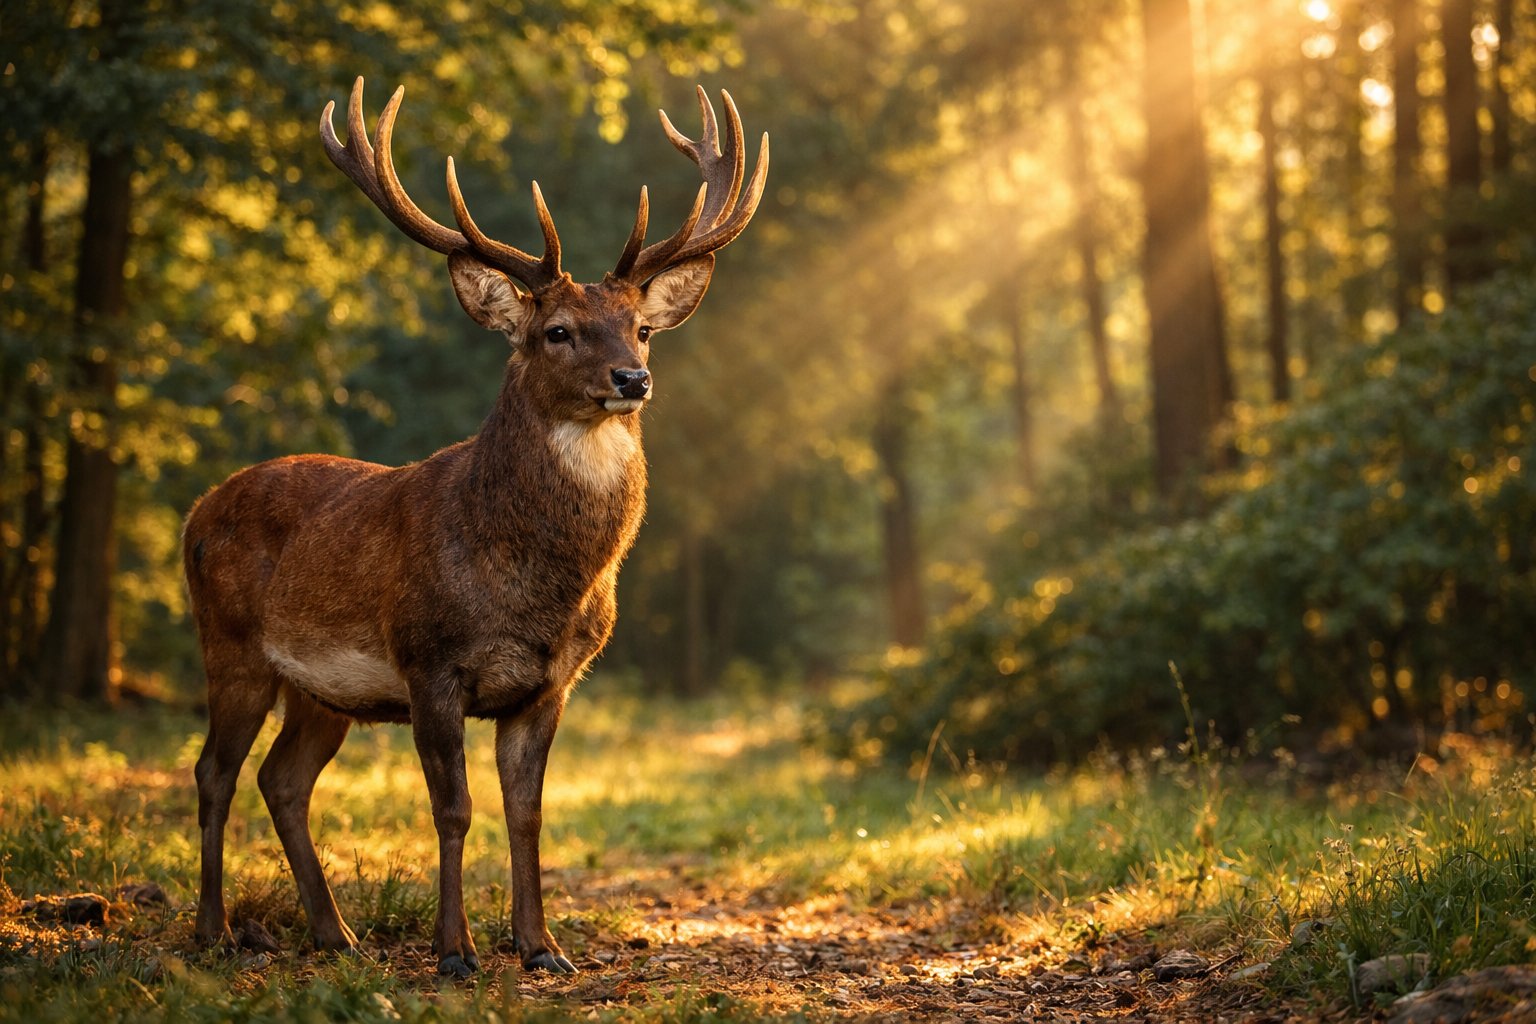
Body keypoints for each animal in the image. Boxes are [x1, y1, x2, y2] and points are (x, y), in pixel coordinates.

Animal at [182, 76, 767, 977]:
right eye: (557, 331)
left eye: (639, 327)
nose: (632, 378)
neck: (532, 585)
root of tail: (195, 514)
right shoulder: (430, 660)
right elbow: (453, 809)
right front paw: (454, 951)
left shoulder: (551, 681)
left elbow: (526, 812)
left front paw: (541, 947)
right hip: (232, 644)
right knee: (214, 773)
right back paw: (213, 931)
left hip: (321, 691)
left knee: (283, 780)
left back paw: (337, 933)